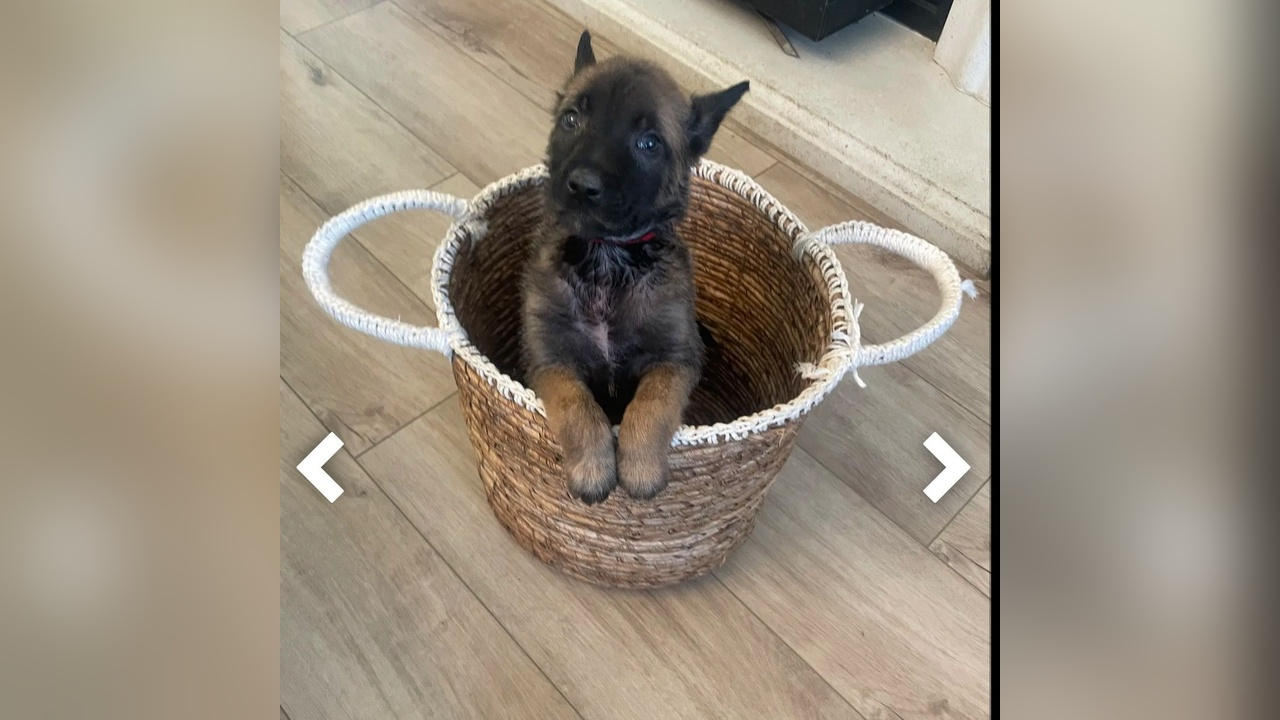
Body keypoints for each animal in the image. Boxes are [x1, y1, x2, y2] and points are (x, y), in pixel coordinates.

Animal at [521, 30, 748, 504]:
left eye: (649, 143)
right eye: (571, 119)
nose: (582, 186)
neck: (607, 259)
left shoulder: (676, 358)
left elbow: (652, 404)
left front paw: (641, 468)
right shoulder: (550, 358)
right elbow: (575, 403)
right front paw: (593, 467)